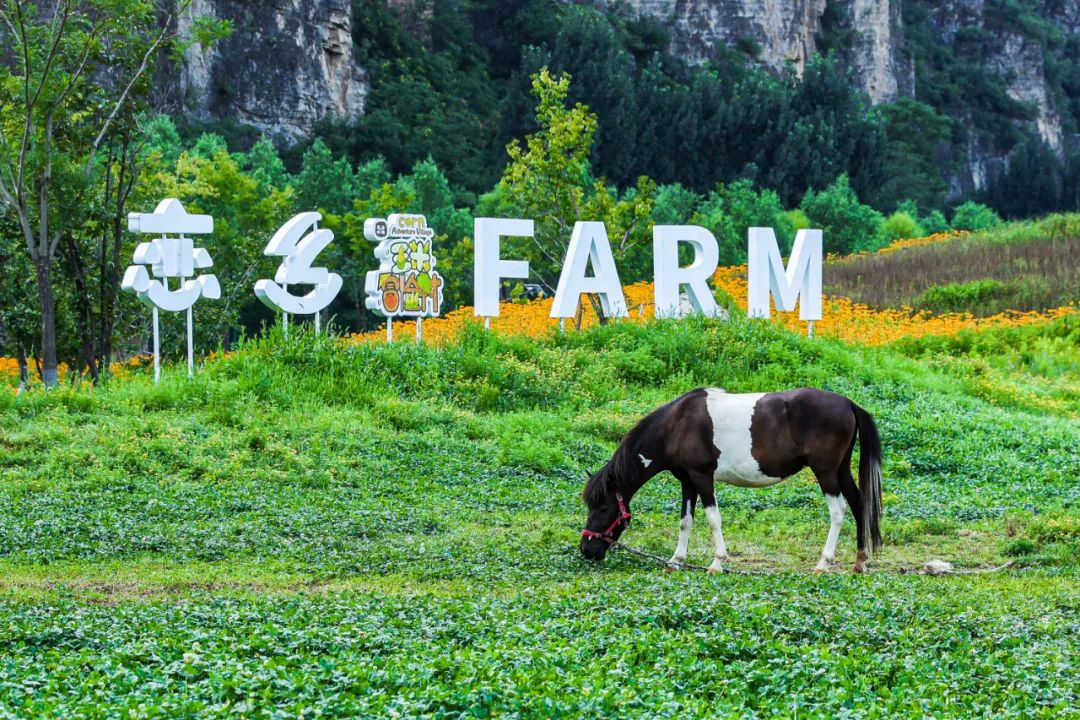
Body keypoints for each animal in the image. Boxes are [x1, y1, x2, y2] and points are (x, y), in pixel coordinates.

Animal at [578, 388, 881, 574]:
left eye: (603, 508)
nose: (586, 550)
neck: (676, 426)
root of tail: (848, 404)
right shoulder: (687, 481)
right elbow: (685, 521)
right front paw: (676, 560)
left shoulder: (702, 477)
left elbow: (713, 519)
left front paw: (717, 562)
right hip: (841, 471)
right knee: (858, 505)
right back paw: (860, 561)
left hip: (825, 472)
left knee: (838, 511)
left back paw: (823, 563)